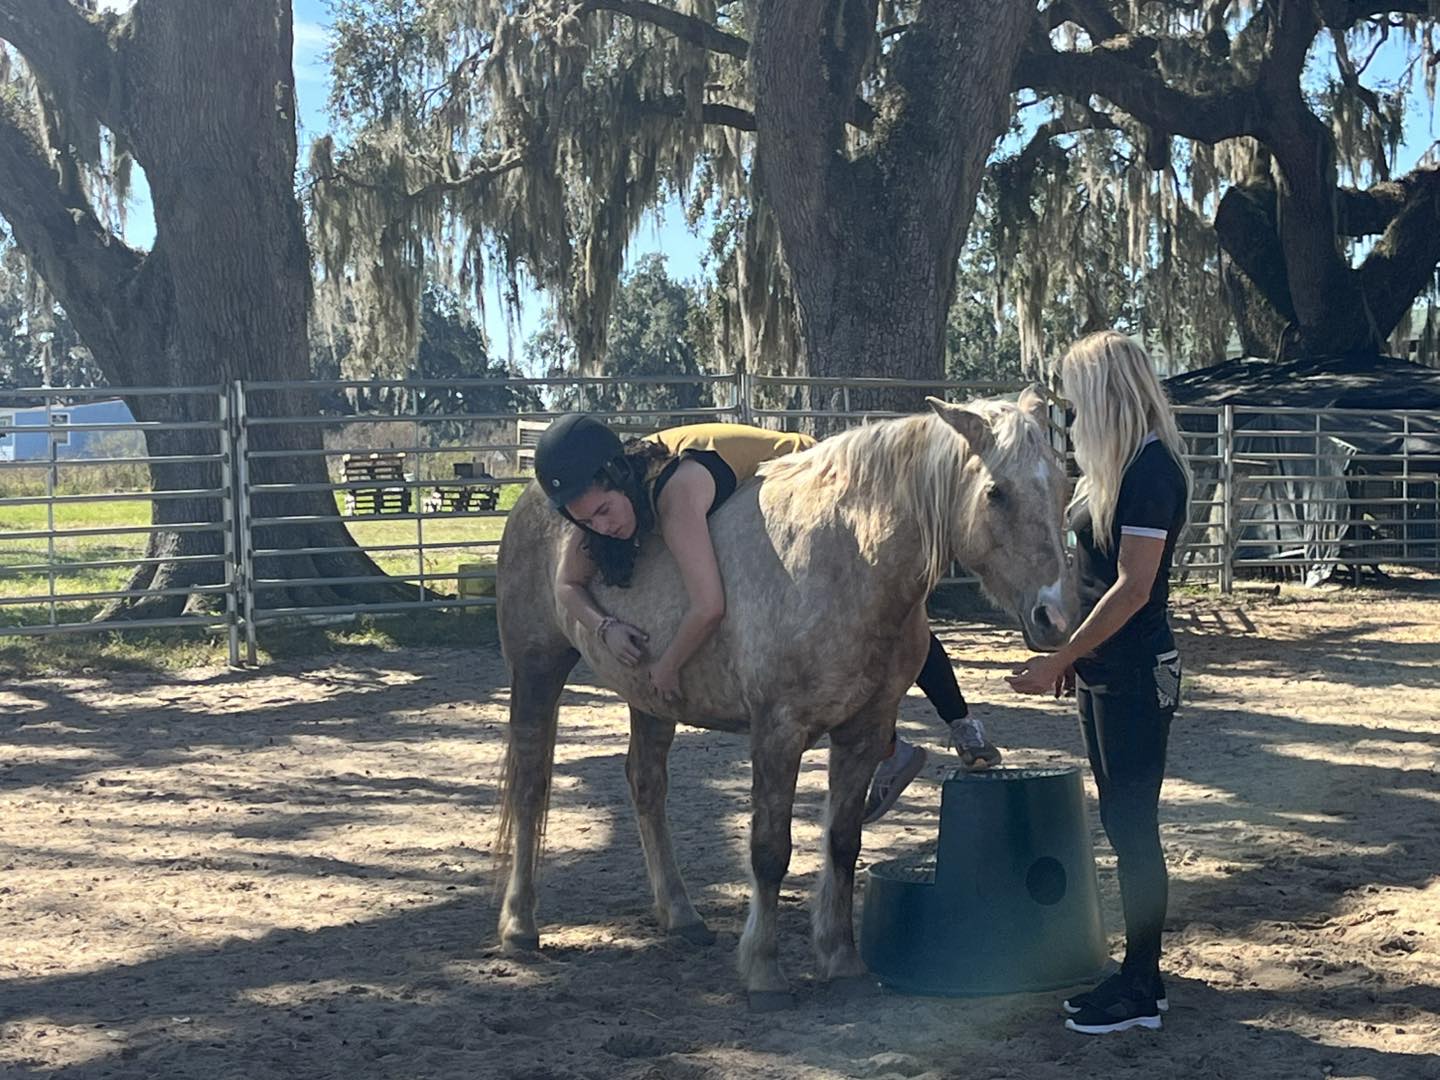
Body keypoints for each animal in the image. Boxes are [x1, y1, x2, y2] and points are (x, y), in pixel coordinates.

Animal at [494, 391, 1071, 1009]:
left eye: (1063, 485)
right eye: (996, 492)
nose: (1054, 618)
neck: (844, 558)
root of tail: (530, 502)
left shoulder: (864, 731)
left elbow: (843, 841)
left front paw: (842, 959)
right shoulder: (778, 732)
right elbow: (770, 851)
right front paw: (764, 971)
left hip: (649, 698)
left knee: (646, 785)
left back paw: (681, 915)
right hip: (536, 670)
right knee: (530, 785)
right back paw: (520, 926)